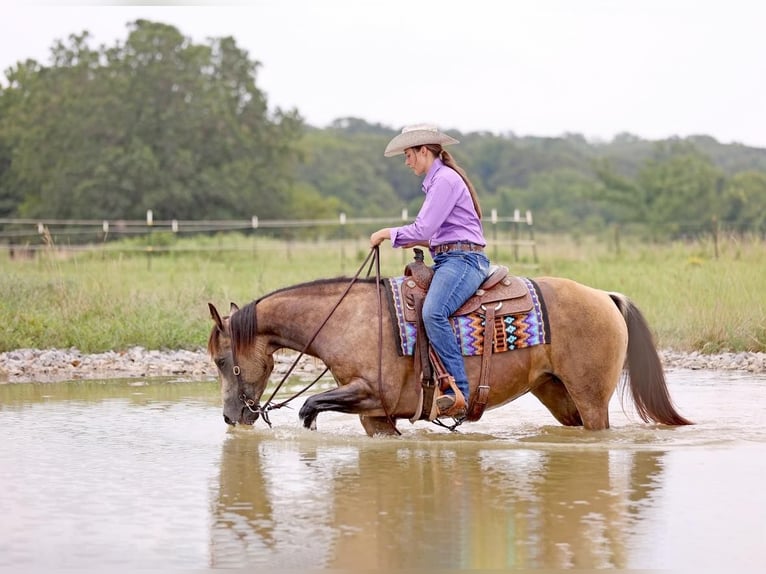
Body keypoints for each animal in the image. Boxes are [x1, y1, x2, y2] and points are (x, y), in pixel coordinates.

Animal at [207, 271, 692, 436]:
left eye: (221, 361)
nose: (231, 417)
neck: (347, 318)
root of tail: (605, 296)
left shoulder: (370, 394)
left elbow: (311, 402)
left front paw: (307, 425)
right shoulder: (376, 417)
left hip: (591, 400)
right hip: (559, 395)